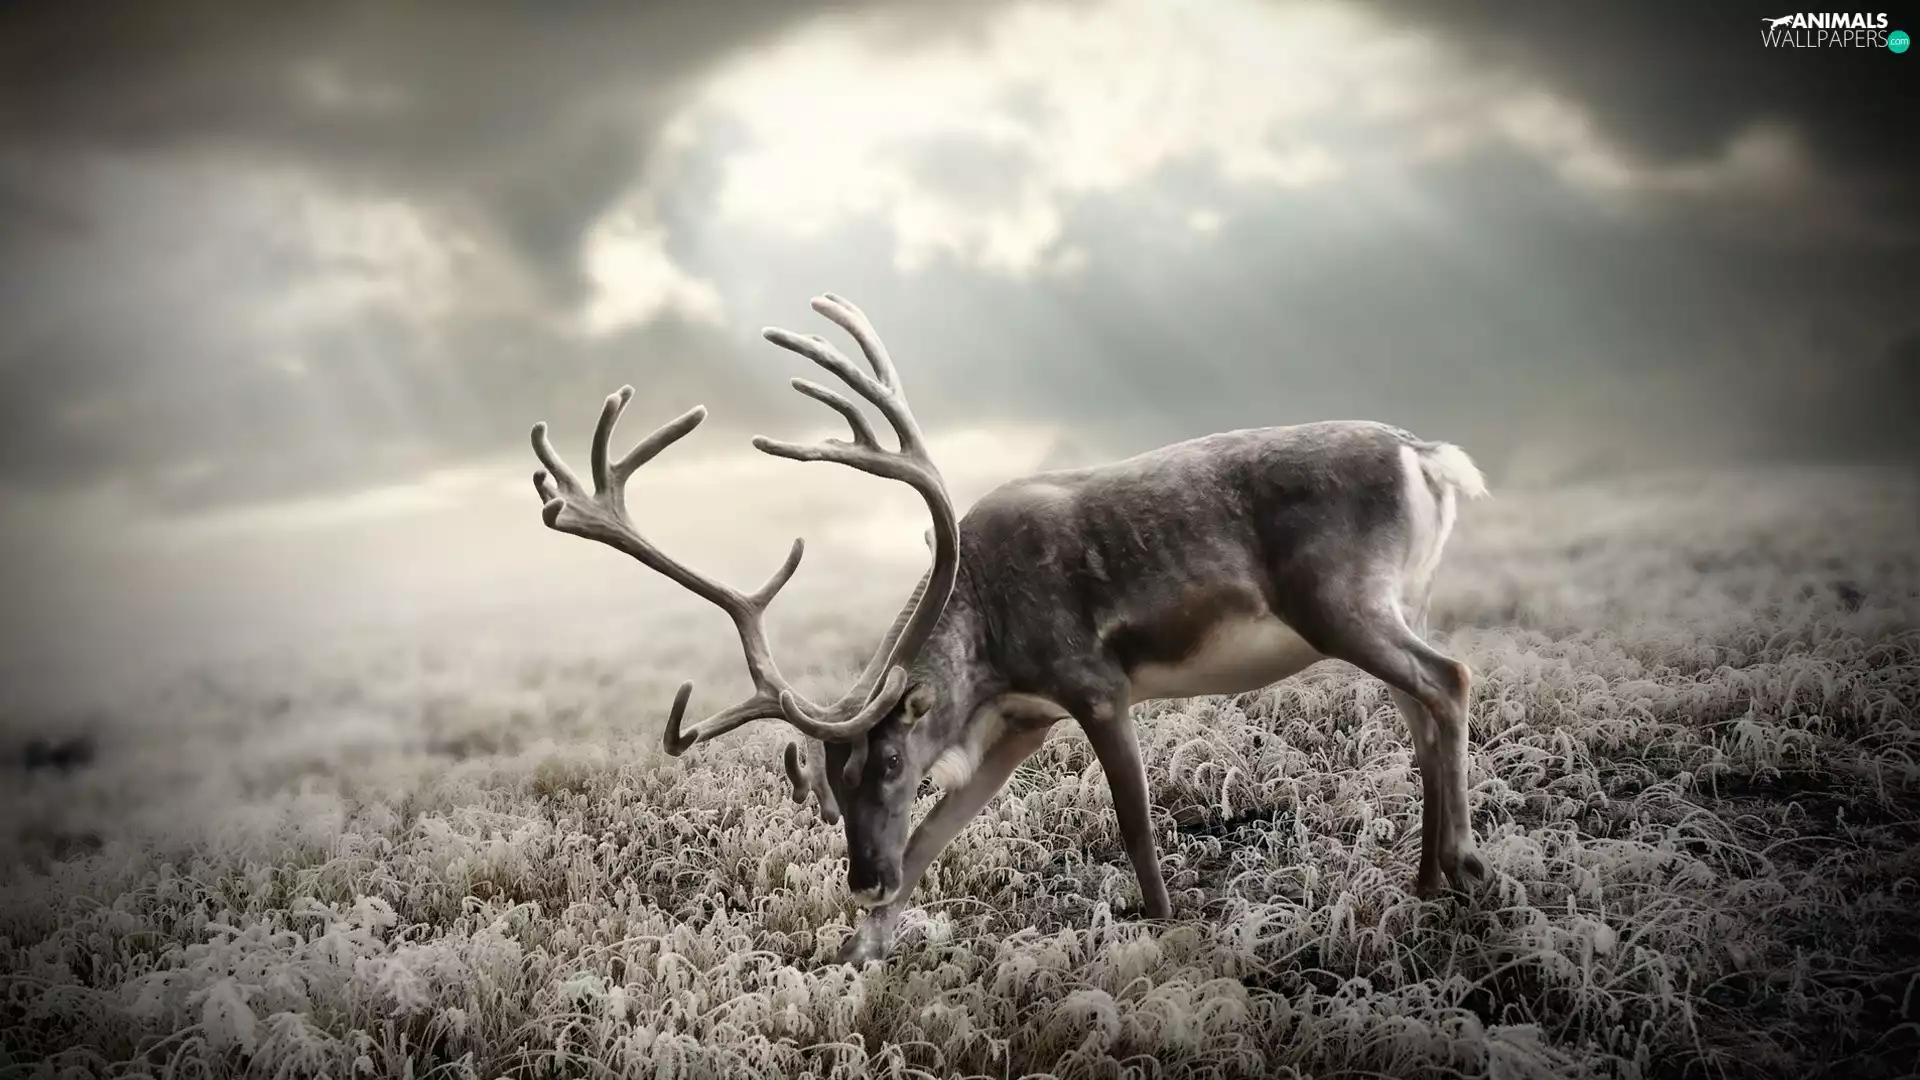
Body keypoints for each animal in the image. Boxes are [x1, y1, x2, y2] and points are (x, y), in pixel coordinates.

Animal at [530, 293, 1490, 965]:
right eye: (831, 780)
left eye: (887, 760)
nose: (860, 879)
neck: (988, 647)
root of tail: (1429, 457)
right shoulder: (1022, 722)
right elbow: (931, 839)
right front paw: (860, 950)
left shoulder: (1092, 685)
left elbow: (1135, 825)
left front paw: (1165, 927)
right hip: (1395, 601)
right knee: (1421, 710)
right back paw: (1427, 880)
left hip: (1340, 602)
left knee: (1449, 678)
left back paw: (1468, 865)